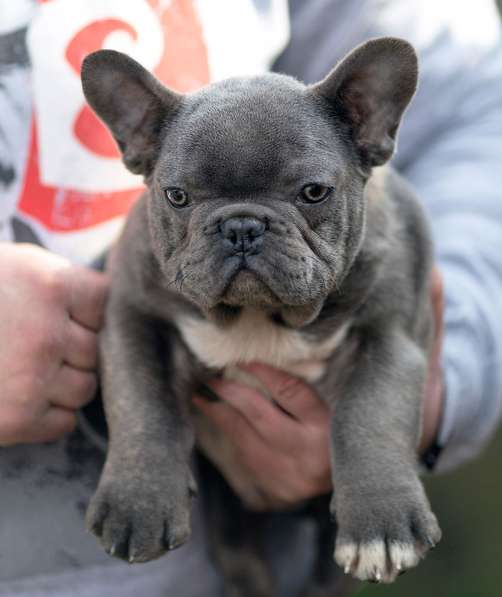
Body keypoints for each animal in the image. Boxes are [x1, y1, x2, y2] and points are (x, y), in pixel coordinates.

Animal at [82, 38, 444, 596]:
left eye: (314, 192)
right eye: (177, 196)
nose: (241, 226)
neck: (257, 318)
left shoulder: (388, 337)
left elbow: (371, 417)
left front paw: (380, 528)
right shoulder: (133, 319)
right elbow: (142, 404)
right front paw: (137, 505)